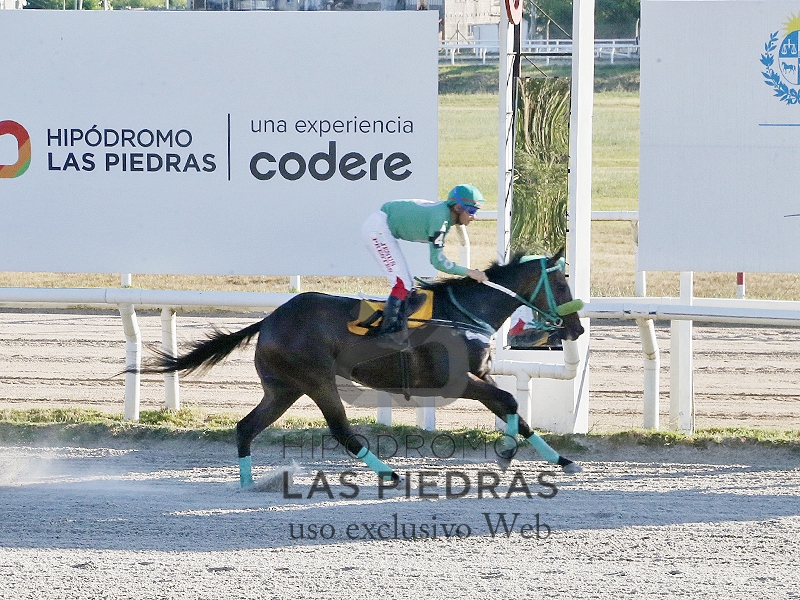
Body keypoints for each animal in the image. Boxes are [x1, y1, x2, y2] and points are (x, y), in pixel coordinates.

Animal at [134, 250, 585, 487]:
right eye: (562, 283)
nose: (578, 327)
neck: (464, 313)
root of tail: (270, 319)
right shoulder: (458, 381)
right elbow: (509, 400)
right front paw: (507, 453)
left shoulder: (480, 376)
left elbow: (515, 411)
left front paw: (561, 460)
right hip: (316, 380)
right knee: (341, 431)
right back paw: (390, 473)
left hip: (284, 388)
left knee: (246, 427)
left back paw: (248, 483)